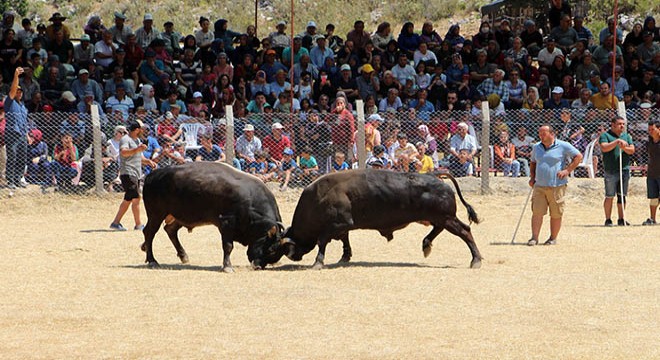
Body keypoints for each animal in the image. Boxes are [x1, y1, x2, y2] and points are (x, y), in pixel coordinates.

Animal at [139, 162, 284, 272]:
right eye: (271, 250)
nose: (258, 266)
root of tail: (152, 175)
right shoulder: (226, 223)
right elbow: (228, 246)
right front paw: (227, 266)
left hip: (178, 216)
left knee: (170, 229)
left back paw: (182, 255)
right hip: (156, 214)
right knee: (149, 232)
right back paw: (152, 260)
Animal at [255, 170, 482, 268]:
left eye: (272, 249)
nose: (258, 263)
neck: (318, 197)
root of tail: (438, 177)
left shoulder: (337, 225)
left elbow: (322, 242)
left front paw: (318, 263)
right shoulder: (343, 227)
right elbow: (344, 240)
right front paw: (345, 257)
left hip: (447, 218)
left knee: (465, 231)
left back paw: (476, 261)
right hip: (440, 219)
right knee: (438, 231)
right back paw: (426, 245)